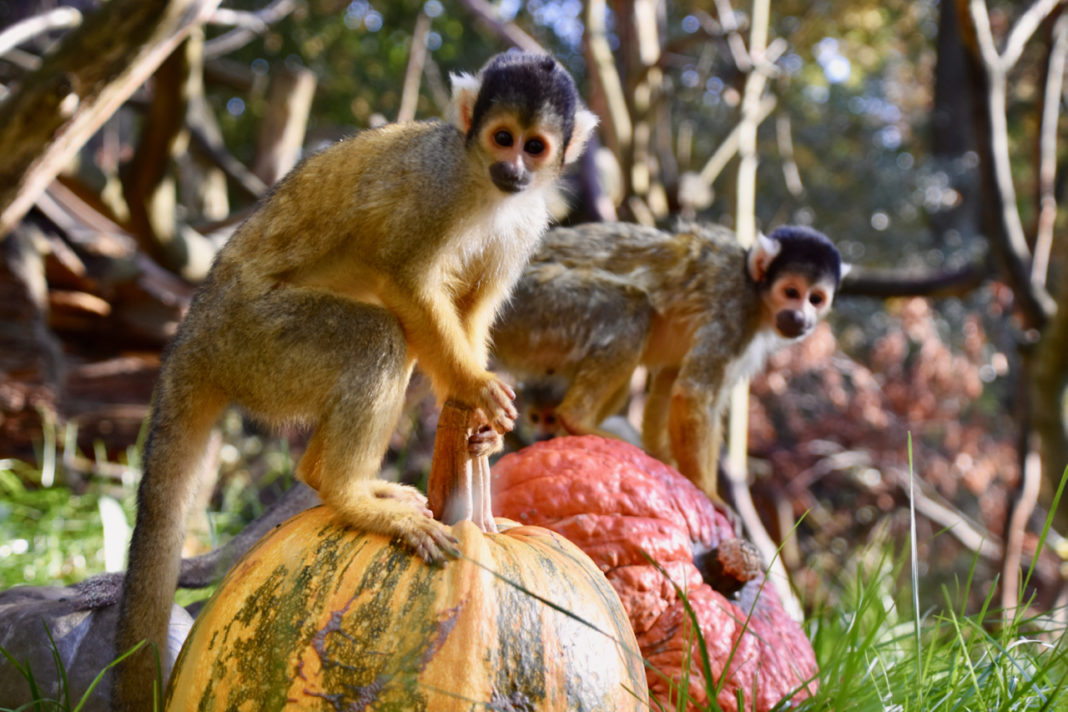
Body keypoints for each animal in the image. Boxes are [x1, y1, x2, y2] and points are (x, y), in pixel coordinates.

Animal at [116, 52, 602, 708]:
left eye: (535, 146)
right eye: (502, 138)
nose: (514, 170)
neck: (482, 184)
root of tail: (193, 330)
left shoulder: (527, 221)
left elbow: (472, 309)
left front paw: (478, 423)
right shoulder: (437, 185)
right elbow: (404, 277)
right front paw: (475, 388)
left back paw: (329, 479)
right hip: (255, 343)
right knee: (379, 337)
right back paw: (349, 495)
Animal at [489, 223, 841, 501]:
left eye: (815, 299)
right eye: (791, 292)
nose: (800, 318)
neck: (756, 295)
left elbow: (670, 382)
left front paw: (667, 465)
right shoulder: (735, 311)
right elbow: (694, 393)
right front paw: (709, 494)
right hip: (531, 305)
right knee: (630, 306)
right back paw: (577, 420)